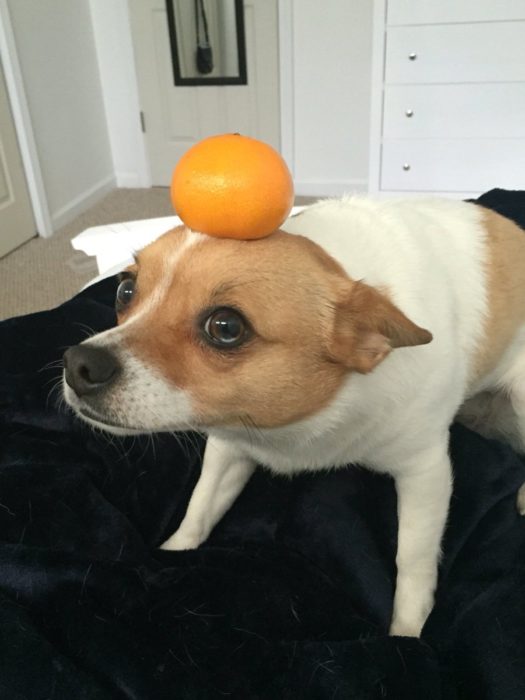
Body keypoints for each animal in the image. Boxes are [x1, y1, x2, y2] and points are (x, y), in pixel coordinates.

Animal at [62, 198, 524, 640]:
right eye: (125, 290)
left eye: (226, 327)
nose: (77, 364)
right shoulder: (229, 447)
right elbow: (200, 507)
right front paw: (173, 554)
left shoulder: (425, 471)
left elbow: (413, 556)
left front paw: (408, 631)